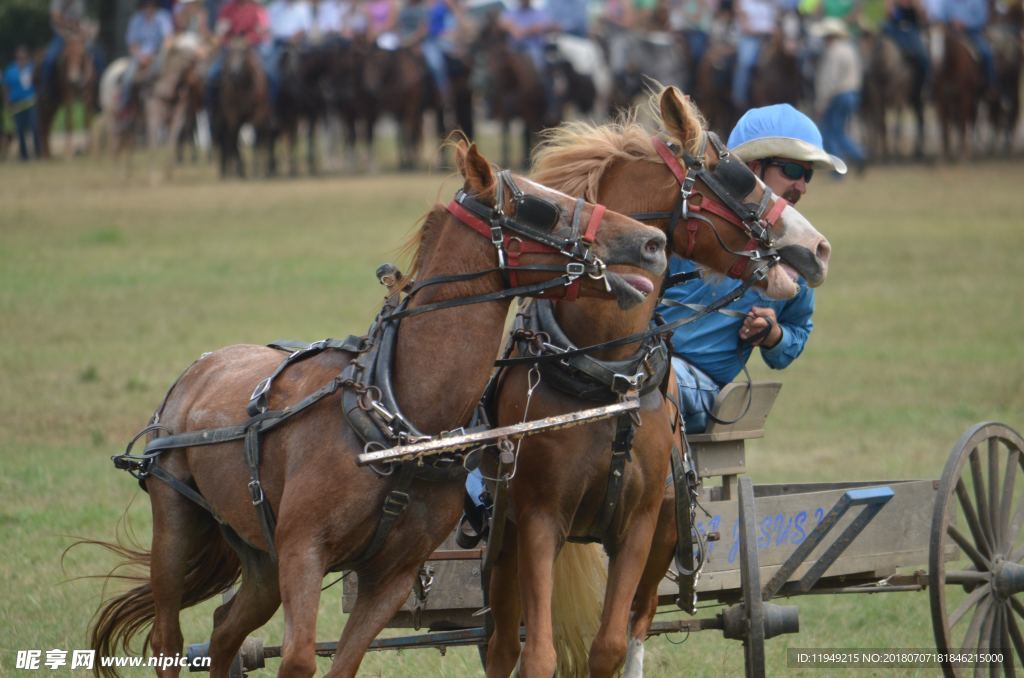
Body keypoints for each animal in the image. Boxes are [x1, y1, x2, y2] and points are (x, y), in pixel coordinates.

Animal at [86, 139, 663, 678]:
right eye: (540, 206)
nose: (653, 242)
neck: (398, 415)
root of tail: (201, 366)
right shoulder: (303, 551)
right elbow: (299, 659)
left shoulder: (392, 574)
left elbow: (343, 663)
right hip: (178, 525)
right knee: (168, 638)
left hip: (260, 558)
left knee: (227, 630)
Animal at [483, 87, 835, 675]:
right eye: (735, 174)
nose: (820, 247)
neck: (606, 378)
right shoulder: (537, 519)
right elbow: (537, 653)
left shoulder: (640, 526)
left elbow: (609, 645)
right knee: (504, 644)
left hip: (669, 532)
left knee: (639, 622)